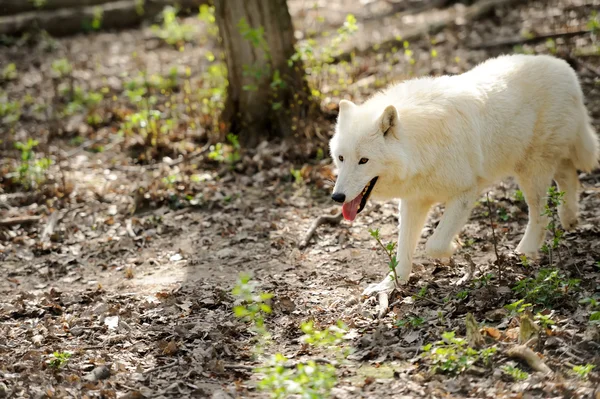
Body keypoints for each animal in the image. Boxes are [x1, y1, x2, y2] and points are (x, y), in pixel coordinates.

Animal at [330, 54, 596, 302]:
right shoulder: (413, 201)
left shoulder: (465, 193)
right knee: (568, 175)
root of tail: (565, 68)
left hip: (532, 171)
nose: (337, 196)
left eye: (363, 160)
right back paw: (570, 220)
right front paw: (389, 284)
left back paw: (525, 251)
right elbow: (403, 250)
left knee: (541, 214)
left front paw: (454, 249)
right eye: (341, 158)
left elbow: (434, 244)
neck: (420, 145)